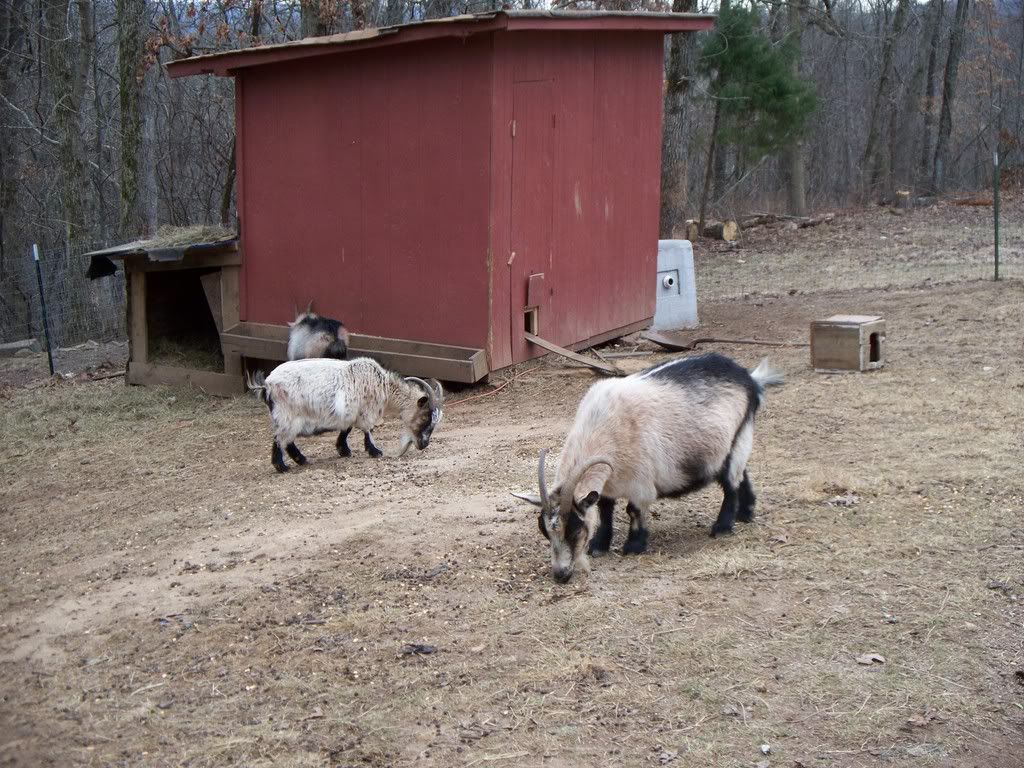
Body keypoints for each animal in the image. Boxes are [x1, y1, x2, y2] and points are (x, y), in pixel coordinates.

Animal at [248, 357, 443, 472]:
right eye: (425, 416)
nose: (424, 445)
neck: (384, 386)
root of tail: (267, 385)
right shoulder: (365, 411)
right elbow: (367, 430)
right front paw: (375, 451)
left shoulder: (351, 412)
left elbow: (347, 429)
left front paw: (344, 450)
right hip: (287, 415)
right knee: (280, 439)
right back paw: (282, 466)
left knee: (287, 441)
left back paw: (301, 460)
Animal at [513, 353, 783, 583]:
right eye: (545, 532)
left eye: (575, 530)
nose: (560, 575)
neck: (605, 426)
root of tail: (749, 378)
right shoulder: (608, 485)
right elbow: (605, 510)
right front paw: (600, 545)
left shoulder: (640, 480)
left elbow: (633, 510)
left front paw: (634, 546)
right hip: (732, 444)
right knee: (740, 474)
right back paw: (745, 513)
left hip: (738, 436)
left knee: (730, 483)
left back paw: (723, 527)